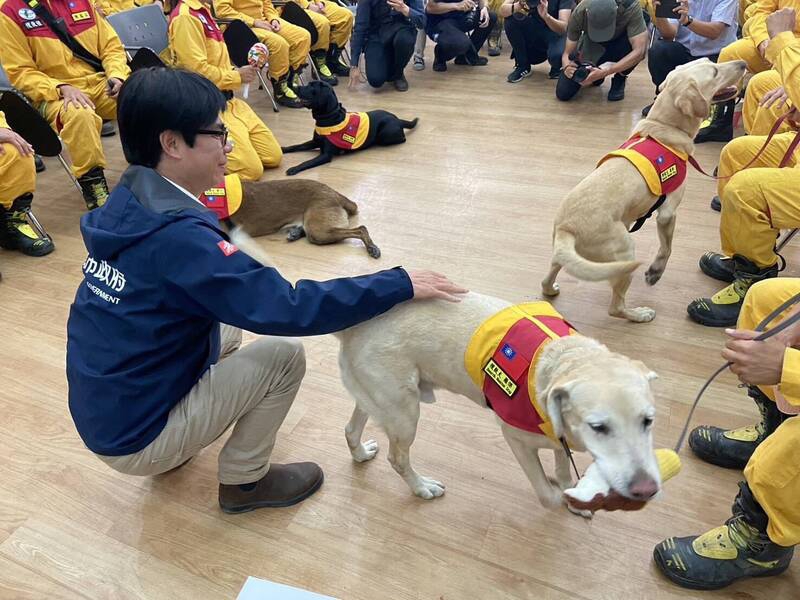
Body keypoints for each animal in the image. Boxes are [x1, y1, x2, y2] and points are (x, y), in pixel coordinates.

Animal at [282, 79, 418, 175]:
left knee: (402, 139)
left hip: (385, 135)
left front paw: (294, 168)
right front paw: (283, 148)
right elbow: (296, 146)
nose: (293, 86)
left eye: (311, 86)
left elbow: (307, 162)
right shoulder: (315, 141)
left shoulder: (326, 155)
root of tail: (397, 119)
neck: (329, 117)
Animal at [540, 59, 748, 324]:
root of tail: (567, 229)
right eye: (714, 71)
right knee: (615, 307)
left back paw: (551, 289)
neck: (663, 127)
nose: (743, 63)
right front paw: (655, 272)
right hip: (626, 250)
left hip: (567, 255)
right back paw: (639, 314)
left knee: (549, 276)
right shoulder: (668, 213)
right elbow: (667, 249)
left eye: (710, 62)